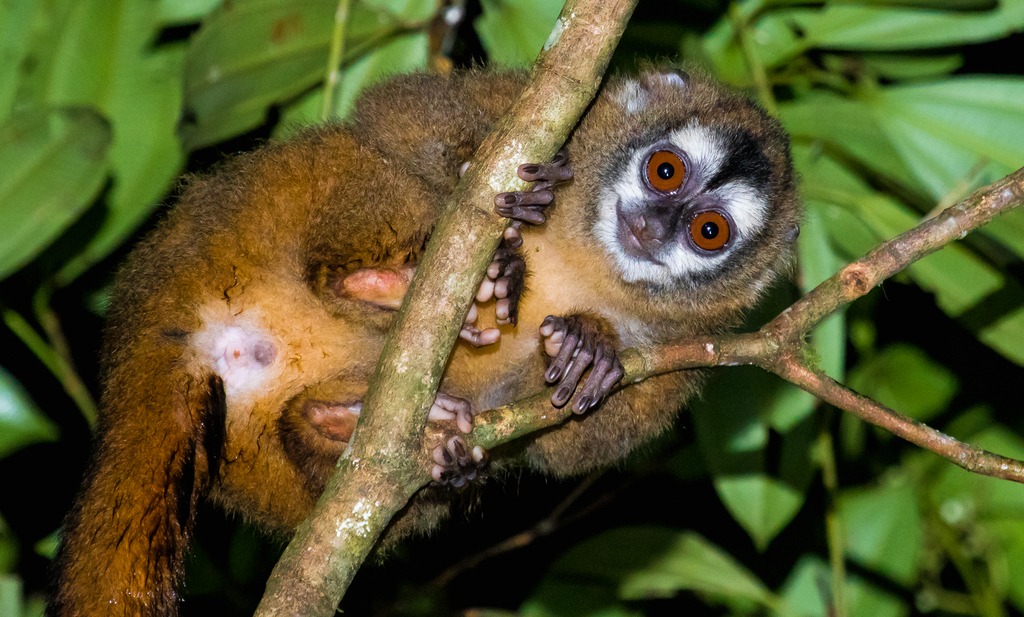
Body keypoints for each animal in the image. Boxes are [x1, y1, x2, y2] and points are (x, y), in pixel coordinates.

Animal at [49, 67, 800, 616]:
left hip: (260, 460)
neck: (591, 253)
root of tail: (165, 313)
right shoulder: (544, 105)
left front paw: (592, 352)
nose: (651, 225)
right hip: (261, 201)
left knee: (361, 474)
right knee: (368, 165)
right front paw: (499, 178)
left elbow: (571, 449)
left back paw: (368, 428)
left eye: (708, 232)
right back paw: (410, 285)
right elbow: (397, 113)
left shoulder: (697, 341)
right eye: (665, 171)